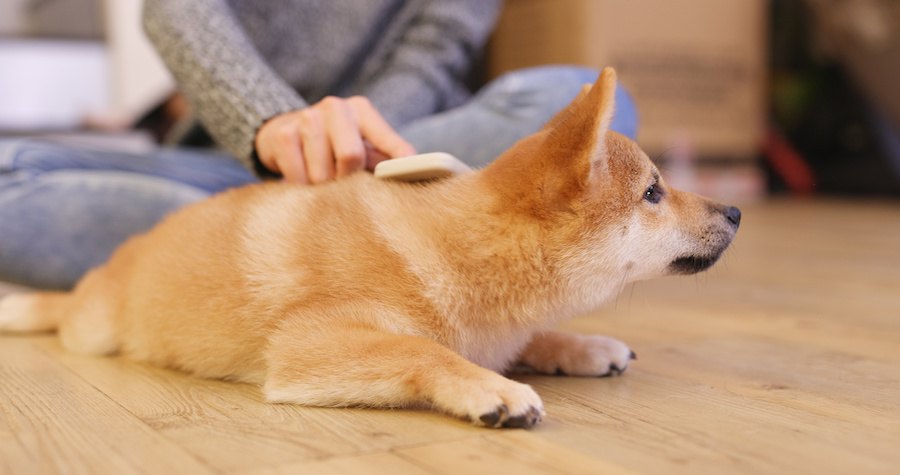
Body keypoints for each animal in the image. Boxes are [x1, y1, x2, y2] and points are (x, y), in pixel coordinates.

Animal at [0, 68, 740, 432]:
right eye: (653, 192)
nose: (735, 210)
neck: (466, 254)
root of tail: (110, 273)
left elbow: (532, 335)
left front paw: (577, 346)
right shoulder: (308, 346)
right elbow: (422, 349)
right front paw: (490, 386)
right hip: (95, 327)